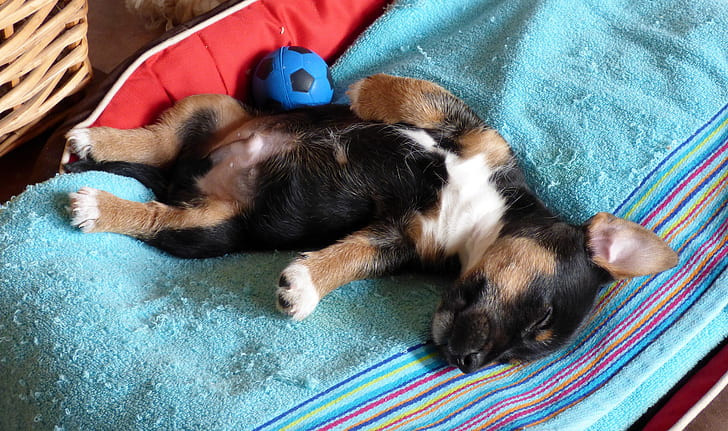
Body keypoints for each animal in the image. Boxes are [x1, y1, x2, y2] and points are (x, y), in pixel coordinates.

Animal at [62, 74, 676, 374]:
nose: (468, 365)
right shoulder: (478, 136)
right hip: (212, 109)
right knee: (157, 143)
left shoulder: (396, 239)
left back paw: (102, 200)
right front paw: (360, 92)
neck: (483, 219)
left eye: (521, 354)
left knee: (156, 212)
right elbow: (414, 95)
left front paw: (304, 286)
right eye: (541, 318)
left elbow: (350, 258)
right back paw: (96, 145)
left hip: (212, 226)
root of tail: (185, 177)